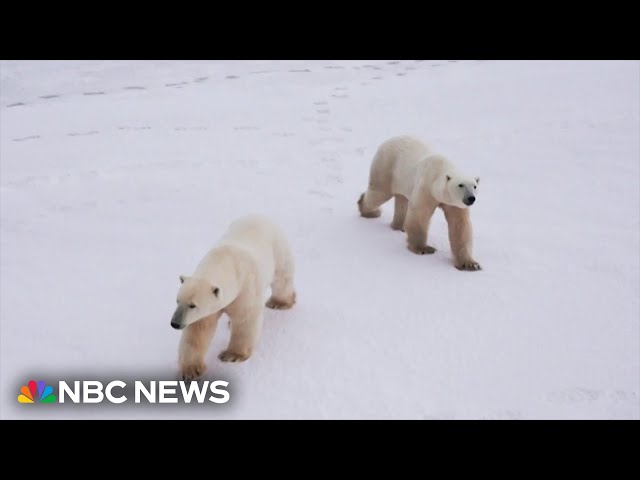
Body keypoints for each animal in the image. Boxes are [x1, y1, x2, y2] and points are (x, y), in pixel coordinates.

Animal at [172, 216, 298, 380]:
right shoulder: (210, 308)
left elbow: (245, 319)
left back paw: (279, 303)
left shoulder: (246, 287)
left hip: (279, 250)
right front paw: (191, 371)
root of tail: (260, 216)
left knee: (282, 280)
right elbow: (198, 329)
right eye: (177, 301)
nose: (175, 323)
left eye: (193, 305)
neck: (225, 259)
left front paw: (231, 355)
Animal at [358, 136, 482, 270]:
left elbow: (459, 226)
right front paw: (424, 249)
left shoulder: (455, 204)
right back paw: (370, 211)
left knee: (401, 200)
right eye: (461, 185)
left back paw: (399, 227)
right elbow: (419, 215)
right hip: (386, 167)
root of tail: (388, 141)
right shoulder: (426, 187)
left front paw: (470, 264)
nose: (471, 198)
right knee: (379, 193)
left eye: (474, 186)